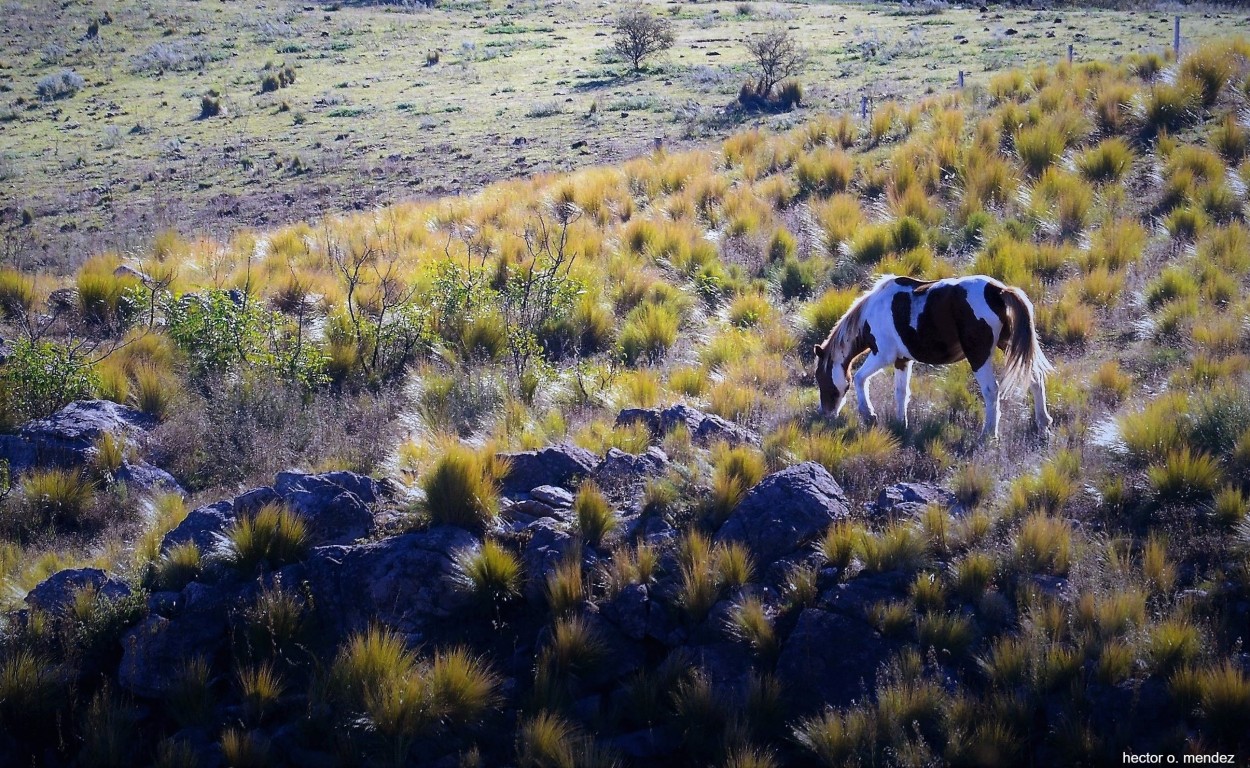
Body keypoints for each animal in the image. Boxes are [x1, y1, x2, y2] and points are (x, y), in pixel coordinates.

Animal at [810, 275, 1055, 442]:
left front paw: (869, 415)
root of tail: (998, 291)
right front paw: (901, 424)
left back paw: (988, 435)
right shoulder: (902, 360)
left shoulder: (883, 355)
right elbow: (901, 393)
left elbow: (860, 378)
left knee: (991, 390)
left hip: (979, 355)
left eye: (821, 379)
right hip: (1008, 345)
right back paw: (1043, 423)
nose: (826, 414)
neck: (873, 311)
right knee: (1035, 379)